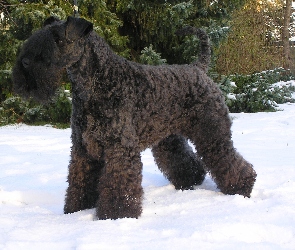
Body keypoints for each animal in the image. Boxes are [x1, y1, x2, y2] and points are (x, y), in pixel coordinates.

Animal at [12, 16, 256, 219]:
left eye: (57, 39)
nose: (24, 63)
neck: (97, 82)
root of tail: (198, 68)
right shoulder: (82, 148)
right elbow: (79, 179)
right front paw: (76, 210)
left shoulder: (120, 148)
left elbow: (119, 184)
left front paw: (116, 215)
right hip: (168, 139)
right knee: (183, 160)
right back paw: (190, 181)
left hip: (211, 131)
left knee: (226, 157)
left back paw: (242, 186)